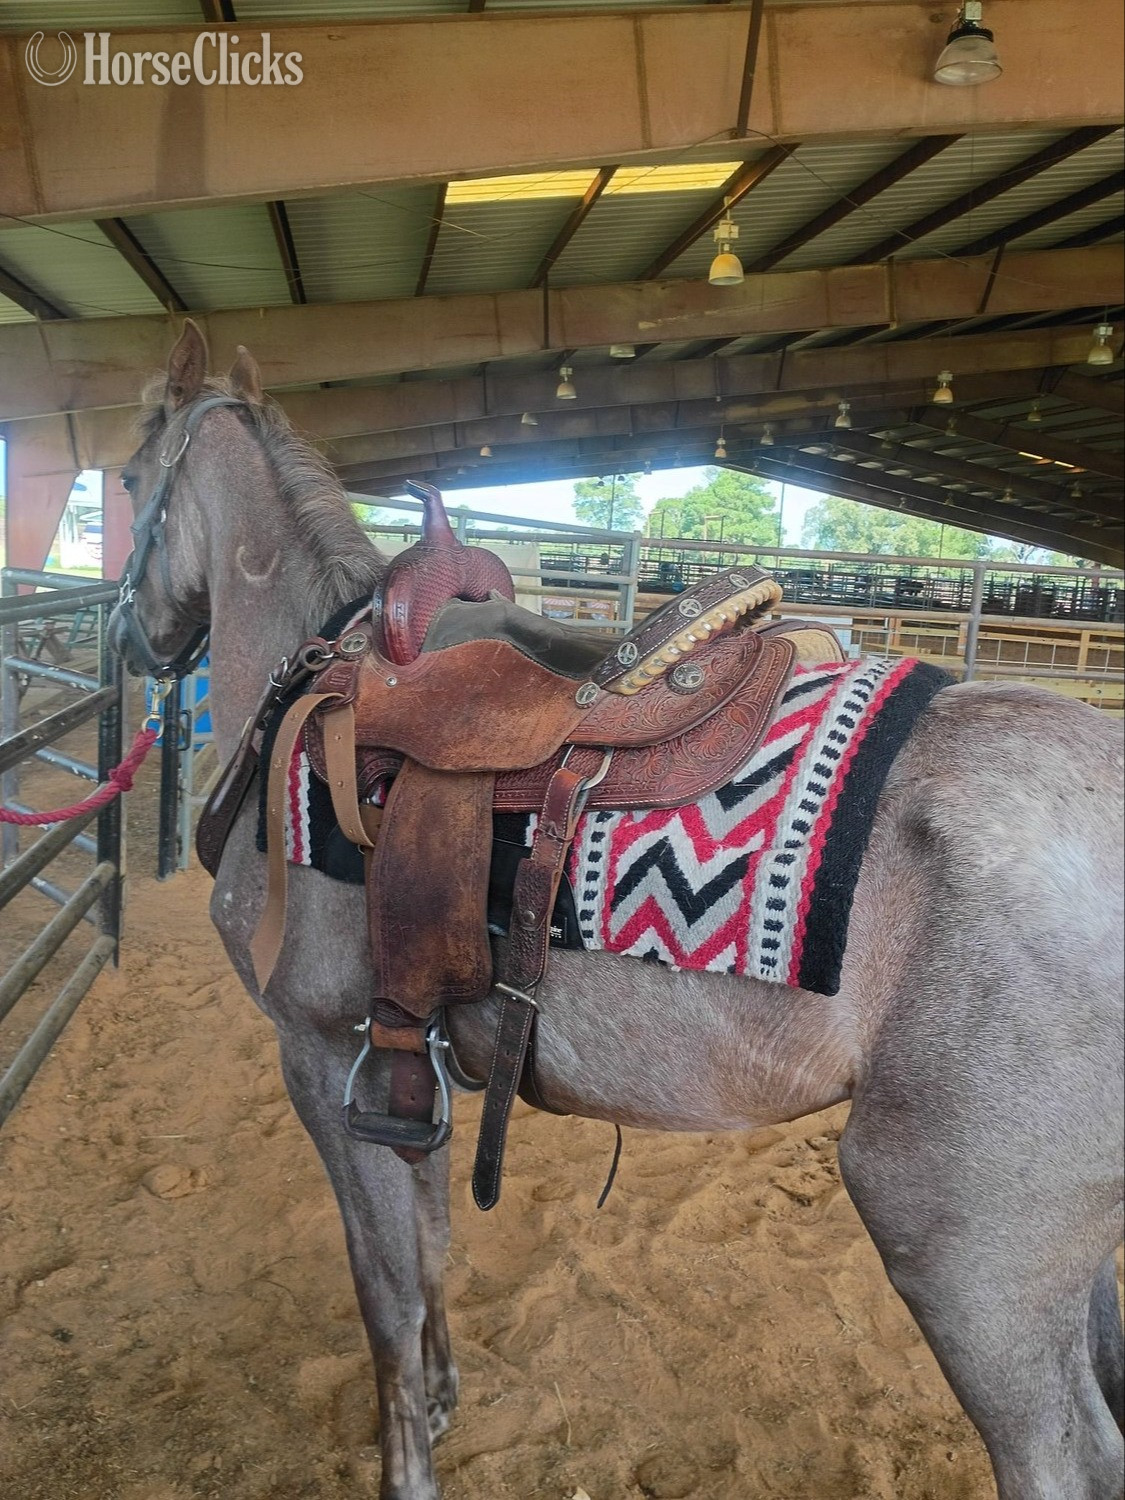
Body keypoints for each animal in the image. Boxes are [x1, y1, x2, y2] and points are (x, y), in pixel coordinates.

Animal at [109, 322, 1124, 1500]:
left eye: (126, 480)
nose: (129, 637)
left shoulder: (317, 1051)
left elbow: (383, 1288)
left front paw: (408, 1464)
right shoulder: (404, 1059)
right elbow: (430, 1240)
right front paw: (444, 1397)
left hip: (969, 1256)